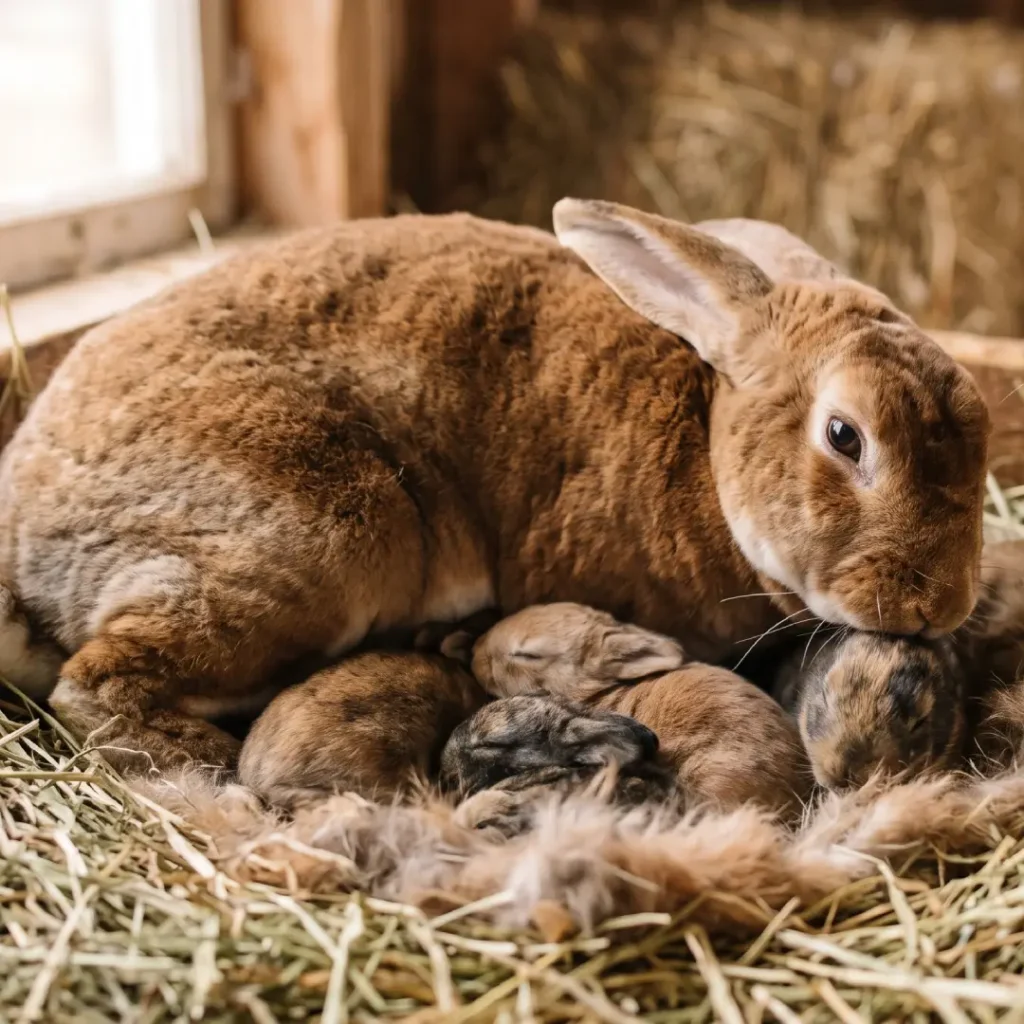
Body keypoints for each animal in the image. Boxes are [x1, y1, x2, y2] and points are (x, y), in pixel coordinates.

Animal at [0, 200, 989, 773]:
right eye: (844, 435)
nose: (940, 604)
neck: (708, 455)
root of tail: (24, 539)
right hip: (316, 543)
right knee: (96, 686)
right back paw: (210, 764)